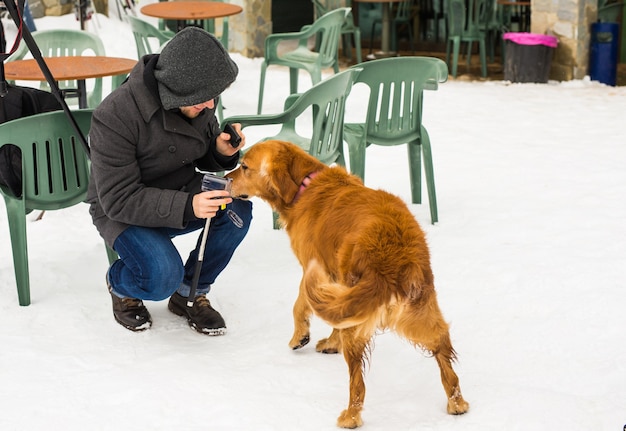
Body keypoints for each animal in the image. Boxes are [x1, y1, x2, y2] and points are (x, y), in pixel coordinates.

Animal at [227, 141, 466, 428]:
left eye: (244, 167)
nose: (226, 180)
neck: (303, 186)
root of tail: (393, 257)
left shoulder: (314, 270)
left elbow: (299, 306)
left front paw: (299, 338)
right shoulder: (334, 286)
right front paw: (329, 342)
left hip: (358, 319)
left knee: (357, 382)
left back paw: (351, 416)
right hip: (421, 309)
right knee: (443, 350)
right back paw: (457, 402)